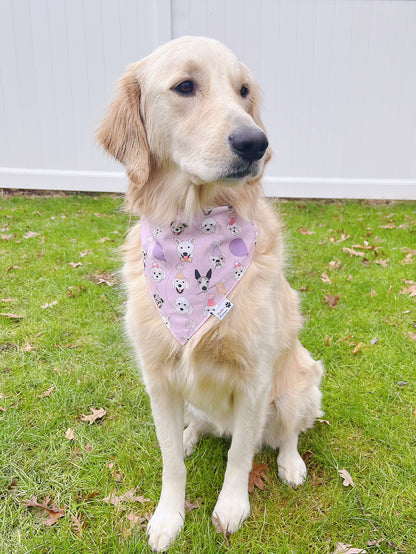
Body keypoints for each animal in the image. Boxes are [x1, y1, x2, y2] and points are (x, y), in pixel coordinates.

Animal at [96, 36, 322, 548]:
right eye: (185, 86)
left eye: (243, 91)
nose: (256, 142)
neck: (194, 229)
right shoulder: (158, 377)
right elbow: (170, 463)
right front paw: (167, 517)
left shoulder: (255, 378)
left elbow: (240, 455)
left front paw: (232, 507)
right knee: (195, 426)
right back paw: (189, 435)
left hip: (299, 383)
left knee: (288, 432)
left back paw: (291, 463)